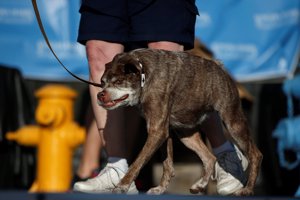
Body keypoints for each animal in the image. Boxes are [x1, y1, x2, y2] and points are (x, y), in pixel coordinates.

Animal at [96, 48, 262, 195]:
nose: (100, 95)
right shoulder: (162, 130)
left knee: (255, 155)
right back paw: (200, 185)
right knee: (209, 158)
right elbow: (167, 164)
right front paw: (160, 189)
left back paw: (247, 189)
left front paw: (122, 186)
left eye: (118, 81)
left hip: (233, 123)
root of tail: (220, 67)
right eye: (102, 82)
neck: (144, 73)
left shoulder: (158, 131)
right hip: (185, 134)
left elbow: (137, 163)